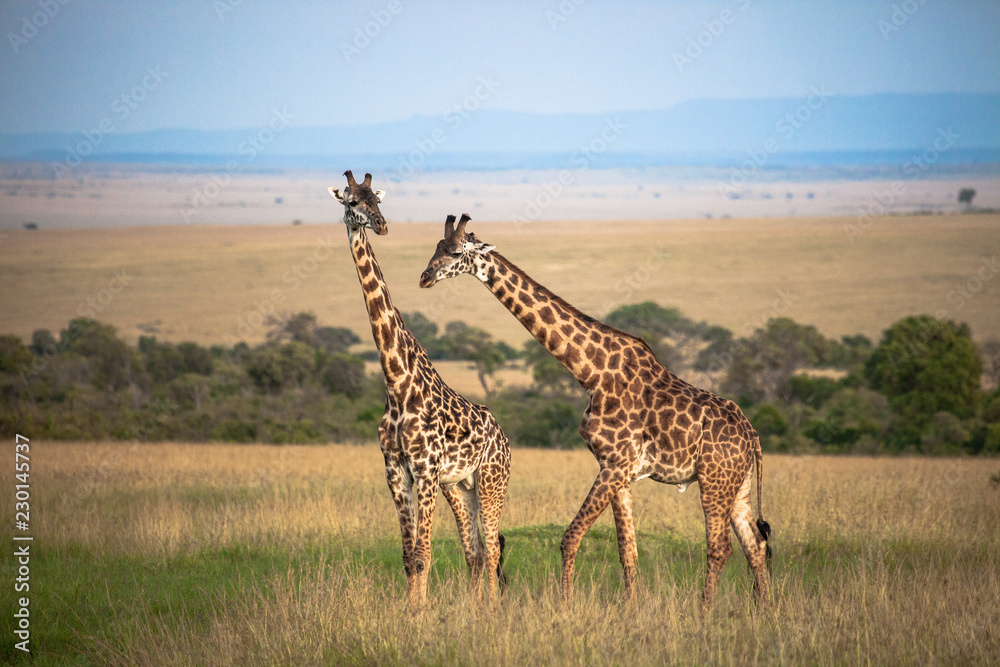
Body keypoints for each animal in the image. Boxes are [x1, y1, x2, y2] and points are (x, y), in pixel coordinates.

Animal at [329, 174, 510, 607]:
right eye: (352, 201)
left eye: (376, 200)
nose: (380, 225)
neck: (397, 384)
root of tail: (504, 437)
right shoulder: (396, 471)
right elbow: (409, 555)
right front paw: (410, 612)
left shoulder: (425, 470)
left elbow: (424, 553)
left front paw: (419, 615)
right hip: (459, 487)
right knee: (475, 550)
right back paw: (476, 610)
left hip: (491, 480)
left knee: (493, 547)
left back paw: (493, 609)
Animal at [419, 214, 771, 608]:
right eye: (436, 247)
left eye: (455, 252)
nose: (425, 277)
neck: (591, 373)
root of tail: (752, 435)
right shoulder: (618, 469)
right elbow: (627, 549)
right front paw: (631, 607)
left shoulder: (615, 463)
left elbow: (569, 537)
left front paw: (564, 603)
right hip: (737, 485)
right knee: (754, 546)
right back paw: (764, 609)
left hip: (713, 480)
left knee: (721, 547)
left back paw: (706, 609)